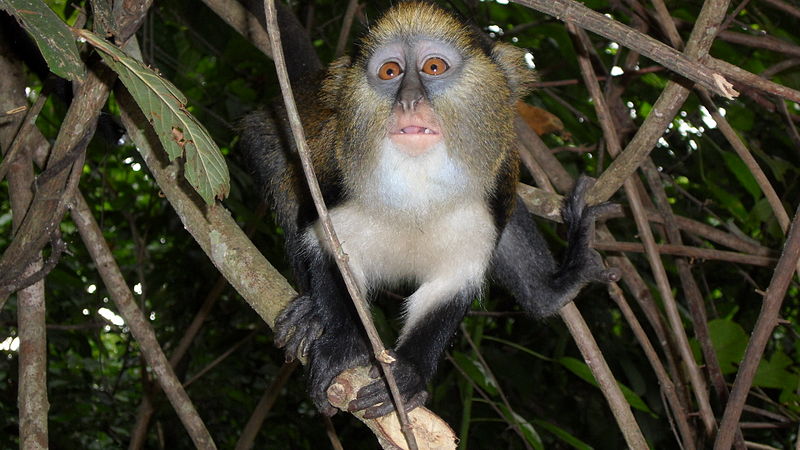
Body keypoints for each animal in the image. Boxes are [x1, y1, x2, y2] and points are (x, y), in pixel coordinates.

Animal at [239, 1, 620, 420]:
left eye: (433, 67)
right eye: (390, 72)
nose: (408, 101)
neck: (417, 186)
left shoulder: (487, 197)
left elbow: (452, 283)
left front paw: (410, 373)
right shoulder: (334, 181)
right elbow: (328, 248)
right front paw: (341, 344)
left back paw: (552, 288)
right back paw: (309, 312)